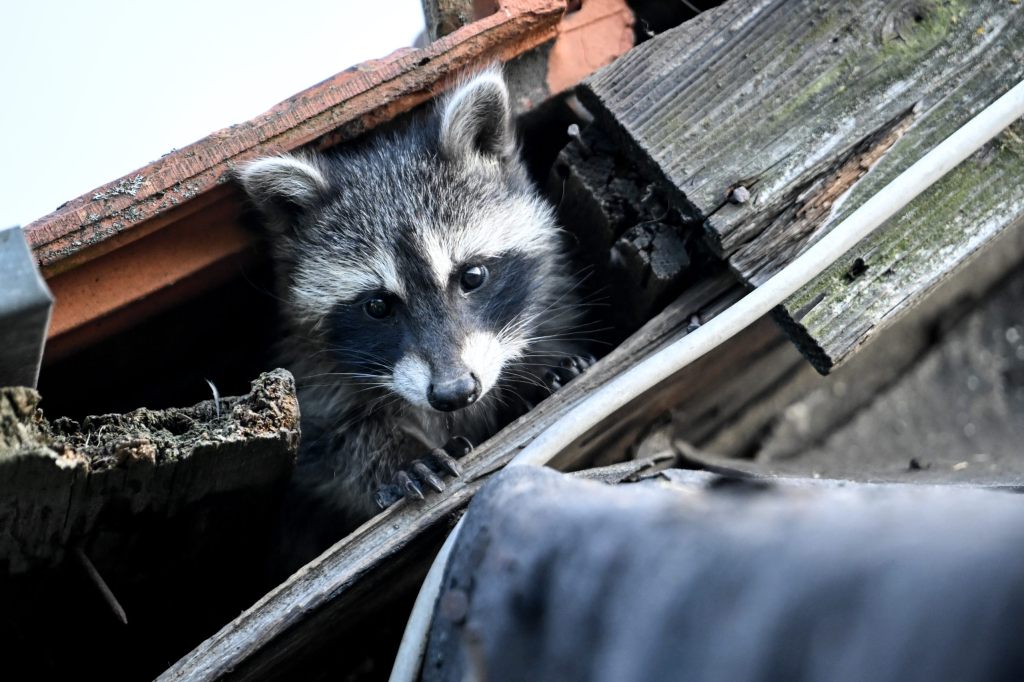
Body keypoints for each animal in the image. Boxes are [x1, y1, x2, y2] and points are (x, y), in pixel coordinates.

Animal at [238, 67, 589, 524]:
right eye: (378, 306)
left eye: (471, 276)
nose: (454, 392)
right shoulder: (307, 373)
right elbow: (332, 448)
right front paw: (400, 457)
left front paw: (541, 373)